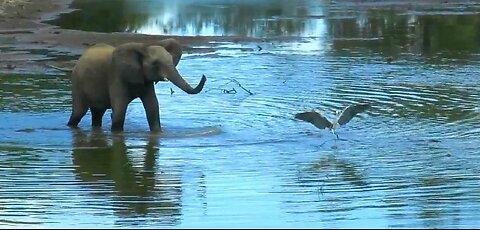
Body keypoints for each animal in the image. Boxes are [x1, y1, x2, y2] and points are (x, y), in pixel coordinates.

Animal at [66, 38, 206, 132]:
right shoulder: (116, 75)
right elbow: (119, 109)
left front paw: (158, 133)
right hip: (77, 83)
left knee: (97, 114)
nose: (204, 76)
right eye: (155, 64)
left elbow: (153, 108)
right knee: (78, 113)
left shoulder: (146, 80)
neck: (144, 48)